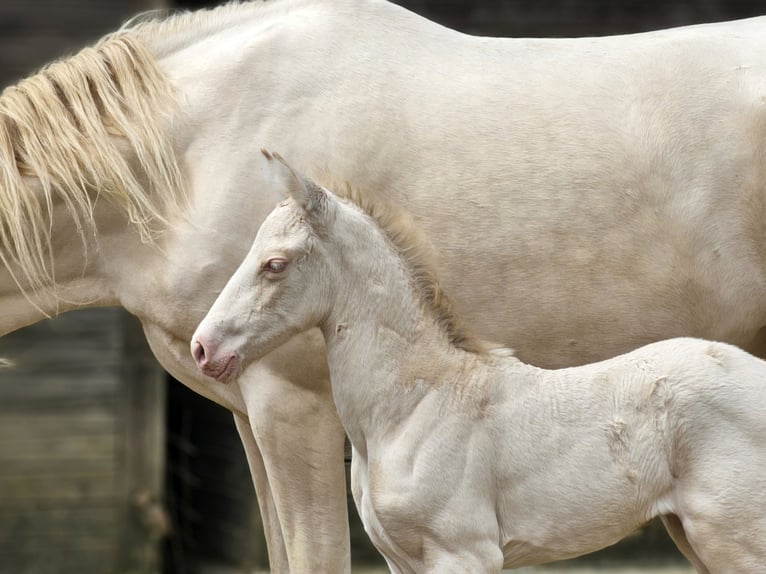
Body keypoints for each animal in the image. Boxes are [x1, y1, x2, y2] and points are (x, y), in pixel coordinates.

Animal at [192, 152, 766, 573]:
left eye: (275, 263)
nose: (204, 348)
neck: (414, 406)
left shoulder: (463, 553)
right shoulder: (402, 562)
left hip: (735, 537)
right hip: (692, 534)